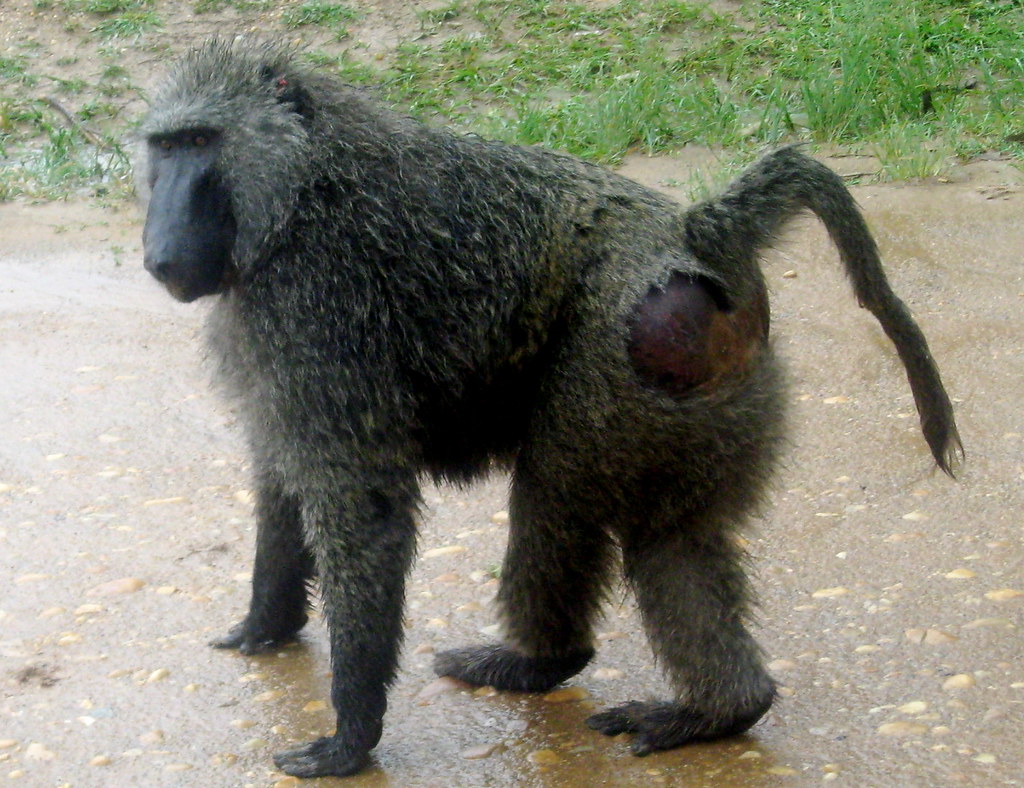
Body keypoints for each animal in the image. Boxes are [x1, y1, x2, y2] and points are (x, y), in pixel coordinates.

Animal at [139, 38, 961, 779]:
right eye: (164, 146)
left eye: (201, 143)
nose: (159, 253)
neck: (303, 184)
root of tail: (696, 230)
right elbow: (281, 481)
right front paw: (263, 626)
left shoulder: (314, 306)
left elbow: (364, 509)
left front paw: (351, 737)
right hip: (711, 390)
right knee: (671, 540)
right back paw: (723, 708)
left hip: (615, 356)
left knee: (557, 495)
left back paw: (544, 661)